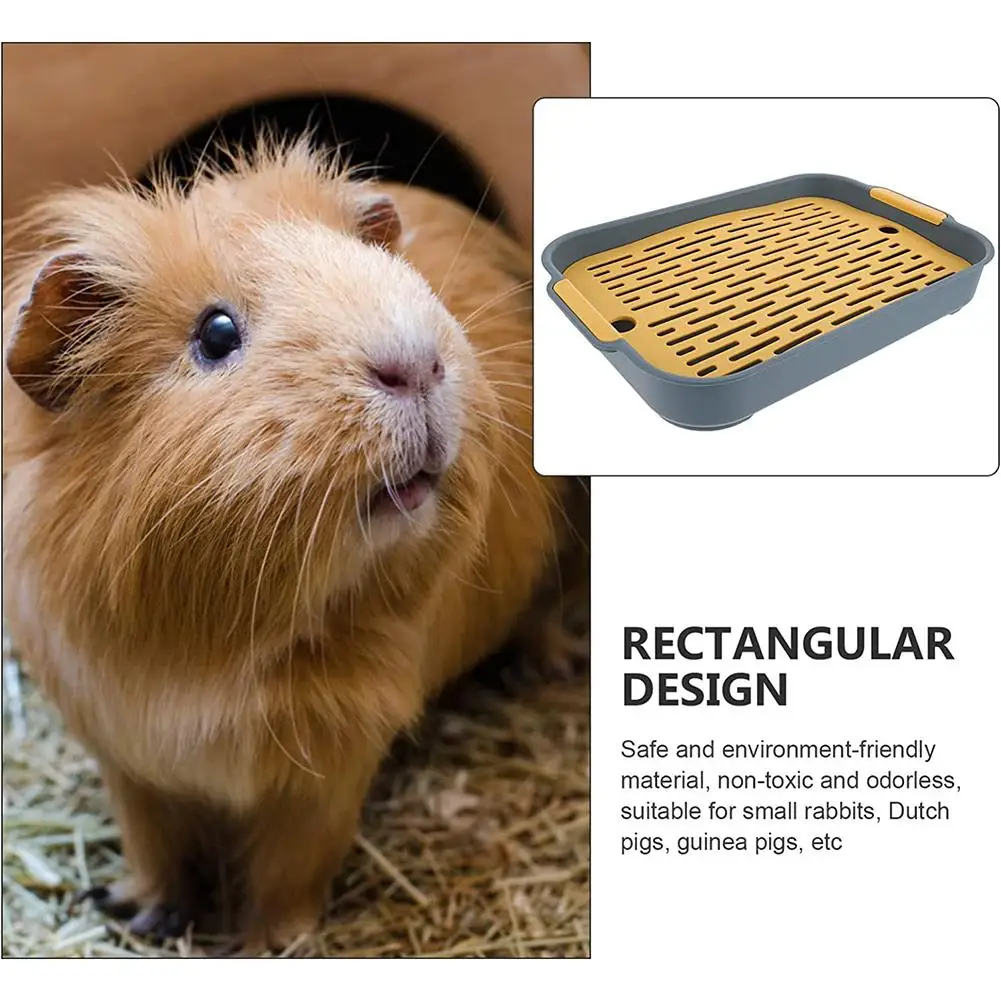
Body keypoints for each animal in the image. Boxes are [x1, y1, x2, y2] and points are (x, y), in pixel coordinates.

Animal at [2, 139, 588, 952]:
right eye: (216, 334)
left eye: (377, 267)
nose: (416, 363)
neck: (224, 649)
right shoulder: (127, 757)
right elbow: (155, 850)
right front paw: (140, 913)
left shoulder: (328, 767)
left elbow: (287, 872)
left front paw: (269, 944)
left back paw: (547, 667)